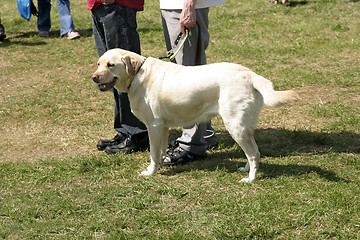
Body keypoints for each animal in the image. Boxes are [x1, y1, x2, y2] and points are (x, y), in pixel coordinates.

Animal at [91, 49, 300, 183]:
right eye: (99, 64)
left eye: (111, 65)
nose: (94, 77)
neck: (138, 74)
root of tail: (249, 74)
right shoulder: (163, 127)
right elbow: (160, 153)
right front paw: (160, 167)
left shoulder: (154, 126)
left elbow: (153, 154)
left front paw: (150, 172)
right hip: (243, 127)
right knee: (252, 152)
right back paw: (245, 169)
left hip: (235, 126)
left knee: (254, 154)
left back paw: (250, 179)